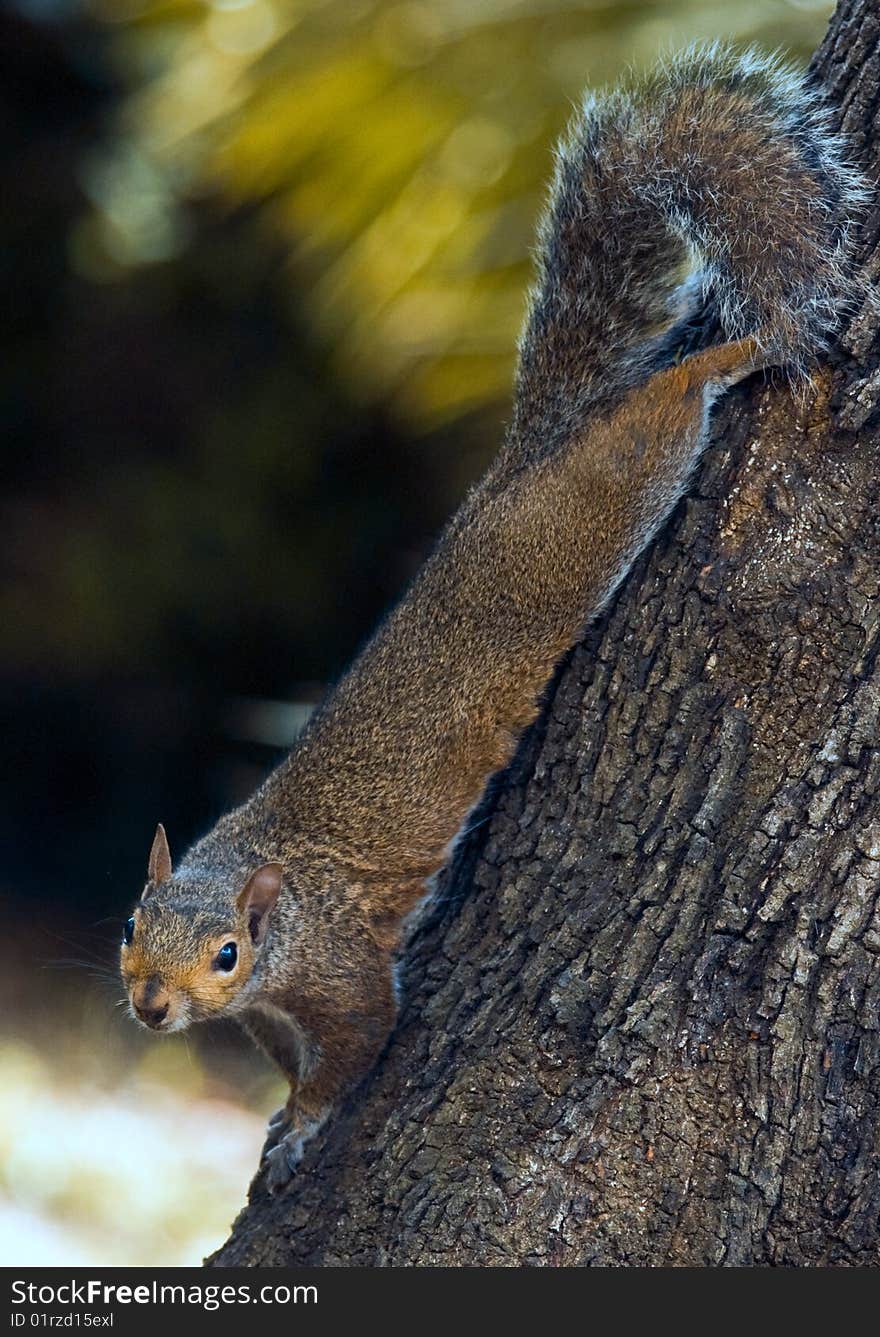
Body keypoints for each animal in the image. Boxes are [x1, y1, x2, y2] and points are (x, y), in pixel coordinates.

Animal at [118, 44, 861, 1192]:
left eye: (226, 953)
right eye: (129, 924)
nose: (152, 1007)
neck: (264, 896)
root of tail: (525, 463)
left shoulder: (342, 970)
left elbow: (362, 1042)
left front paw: (303, 1128)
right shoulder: (270, 1011)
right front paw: (281, 1110)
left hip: (615, 491)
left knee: (669, 403)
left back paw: (733, 353)